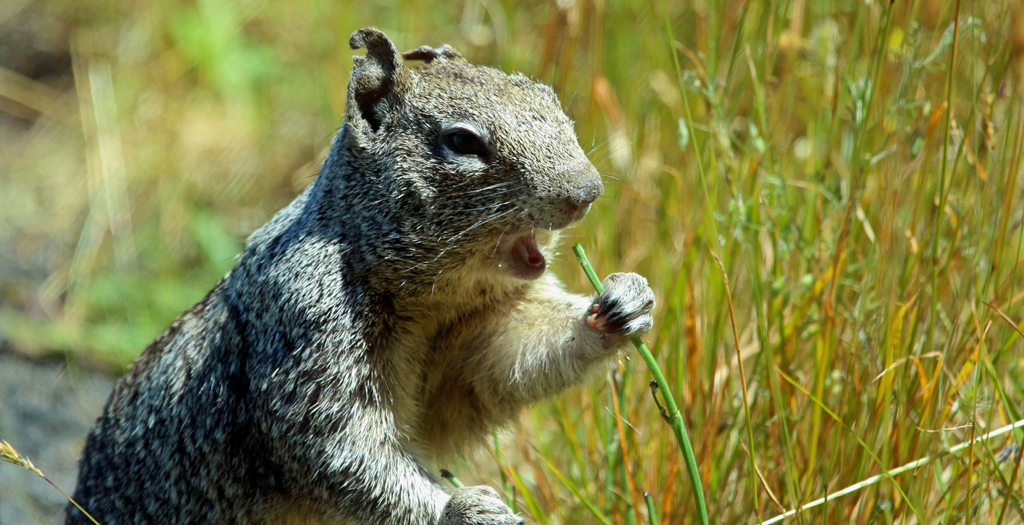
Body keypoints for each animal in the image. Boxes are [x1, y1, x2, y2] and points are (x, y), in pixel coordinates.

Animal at [66, 28, 655, 523]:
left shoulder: (480, 332)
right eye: (463, 141)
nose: (587, 190)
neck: (432, 299)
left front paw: (621, 302)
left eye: (550, 100)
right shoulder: (307, 323)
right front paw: (462, 510)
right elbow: (338, 447)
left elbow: (510, 362)